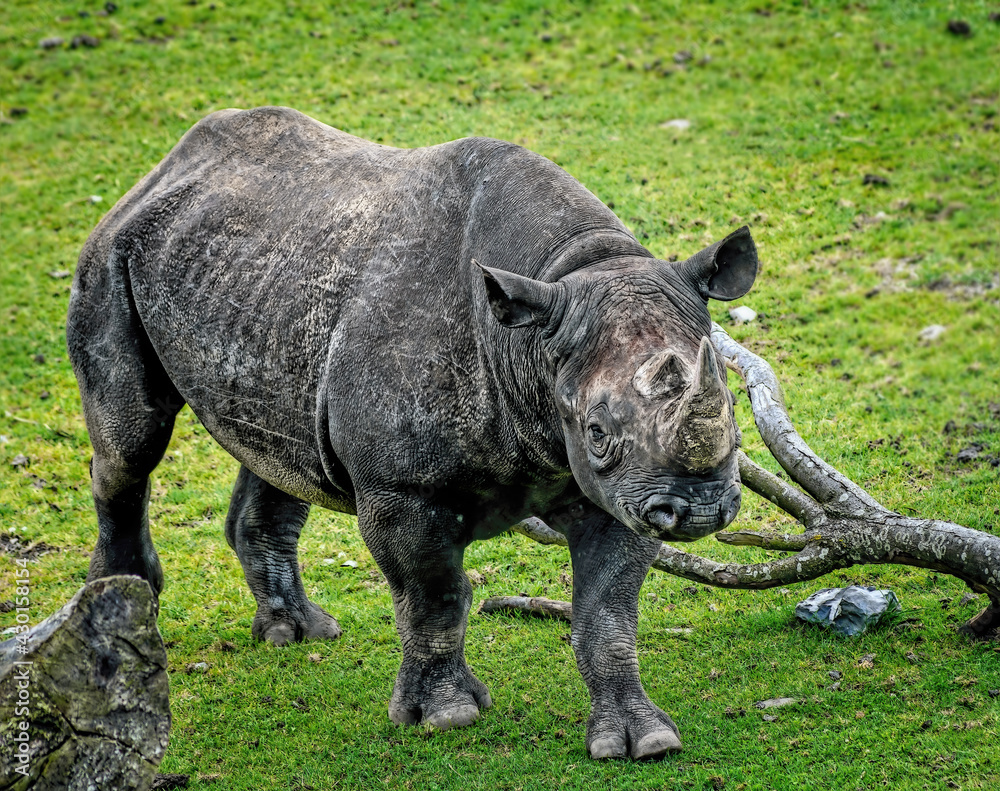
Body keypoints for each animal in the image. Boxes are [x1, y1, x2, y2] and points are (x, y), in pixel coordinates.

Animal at [68, 106, 758, 760]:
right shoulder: (401, 489)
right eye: (594, 431)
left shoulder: (624, 490)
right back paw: (124, 616)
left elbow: (608, 614)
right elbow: (435, 596)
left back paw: (298, 632)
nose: (699, 508)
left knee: (278, 447)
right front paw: (447, 716)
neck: (534, 336)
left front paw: (644, 741)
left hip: (252, 277)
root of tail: (167, 165)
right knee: (132, 443)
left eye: (732, 408)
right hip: (112, 255)